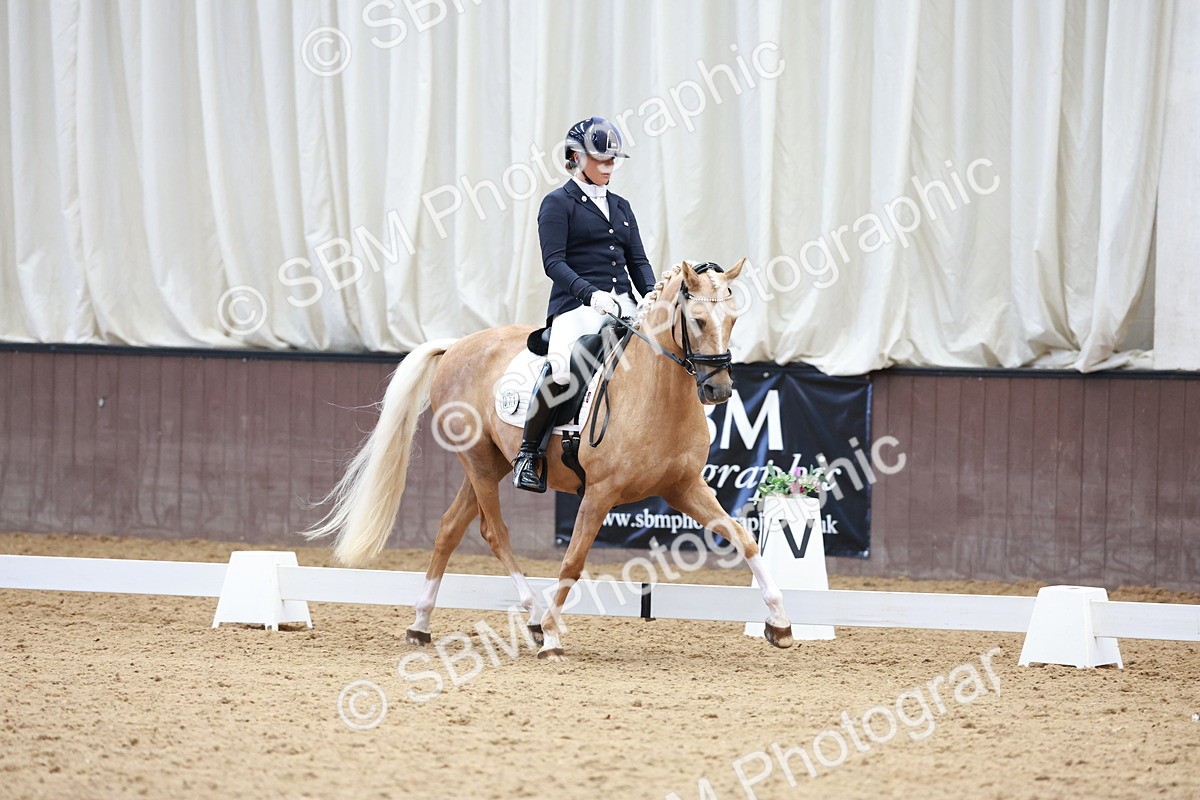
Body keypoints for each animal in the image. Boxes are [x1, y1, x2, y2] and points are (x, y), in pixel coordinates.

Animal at [302, 259, 796, 660]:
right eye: (696, 320)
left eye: (733, 318)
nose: (719, 390)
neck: (656, 393)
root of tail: (459, 344)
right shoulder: (600, 492)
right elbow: (573, 561)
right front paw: (556, 637)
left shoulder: (684, 487)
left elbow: (743, 539)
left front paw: (779, 622)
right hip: (479, 462)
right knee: (495, 532)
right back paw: (536, 620)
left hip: (491, 462)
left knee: (449, 529)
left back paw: (421, 624)